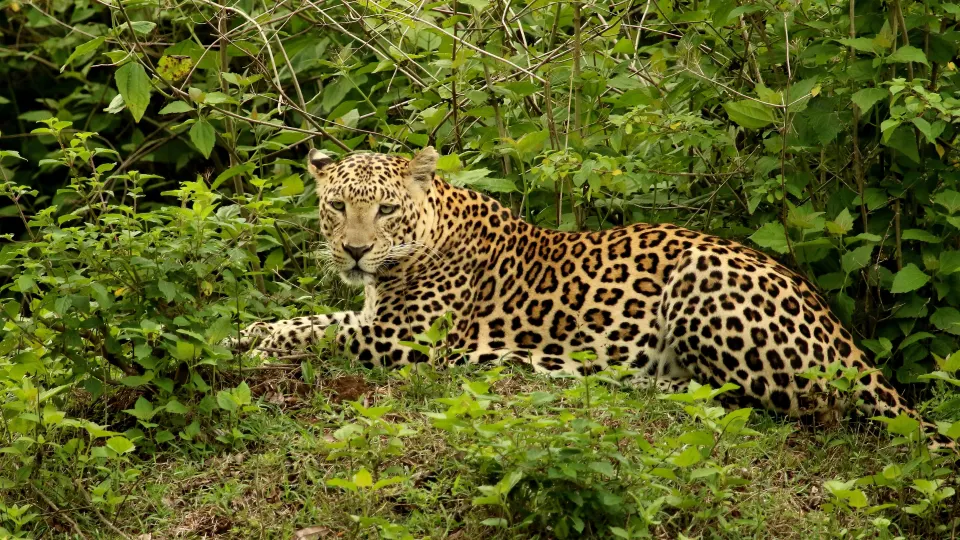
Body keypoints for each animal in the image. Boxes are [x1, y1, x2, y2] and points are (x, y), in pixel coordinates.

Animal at [231, 146, 948, 447]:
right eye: (335, 207)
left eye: (383, 209)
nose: (353, 251)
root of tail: (843, 336)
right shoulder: (371, 314)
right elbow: (311, 316)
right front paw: (243, 335)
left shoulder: (402, 340)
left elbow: (310, 330)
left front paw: (247, 343)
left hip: (705, 286)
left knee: (804, 409)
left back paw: (632, 382)